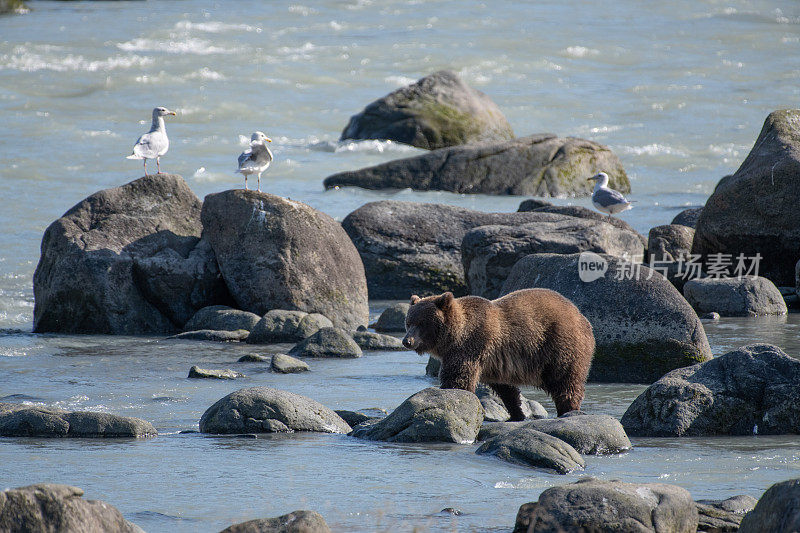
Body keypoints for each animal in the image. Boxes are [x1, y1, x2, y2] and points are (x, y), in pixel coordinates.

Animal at [406, 288, 592, 418]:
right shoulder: (494, 364)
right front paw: (517, 412)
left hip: (560, 345)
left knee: (566, 380)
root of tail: (581, 315)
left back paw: (568, 409)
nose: (407, 341)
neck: (454, 336)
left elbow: (458, 378)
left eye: (421, 323)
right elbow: (506, 389)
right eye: (408, 322)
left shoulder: (470, 346)